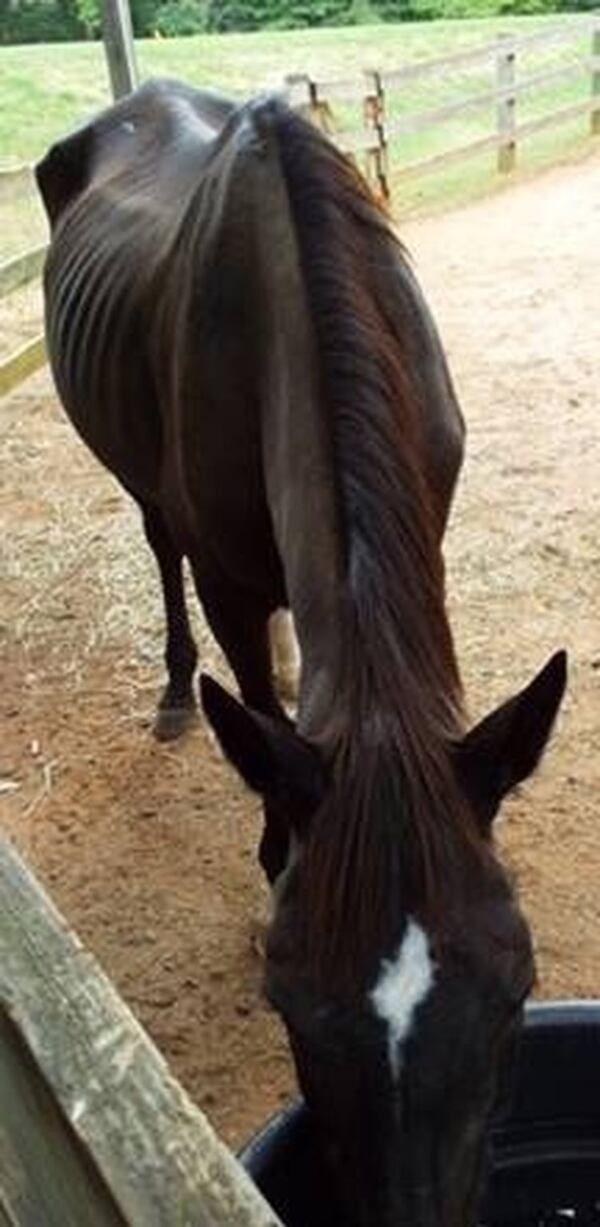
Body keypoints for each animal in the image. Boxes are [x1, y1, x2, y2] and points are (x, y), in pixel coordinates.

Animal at [38, 84, 566, 1227]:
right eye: (286, 1001)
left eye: (518, 990)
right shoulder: (230, 585)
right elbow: (258, 718)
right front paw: (274, 844)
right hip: (147, 493)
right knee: (158, 548)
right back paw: (174, 694)